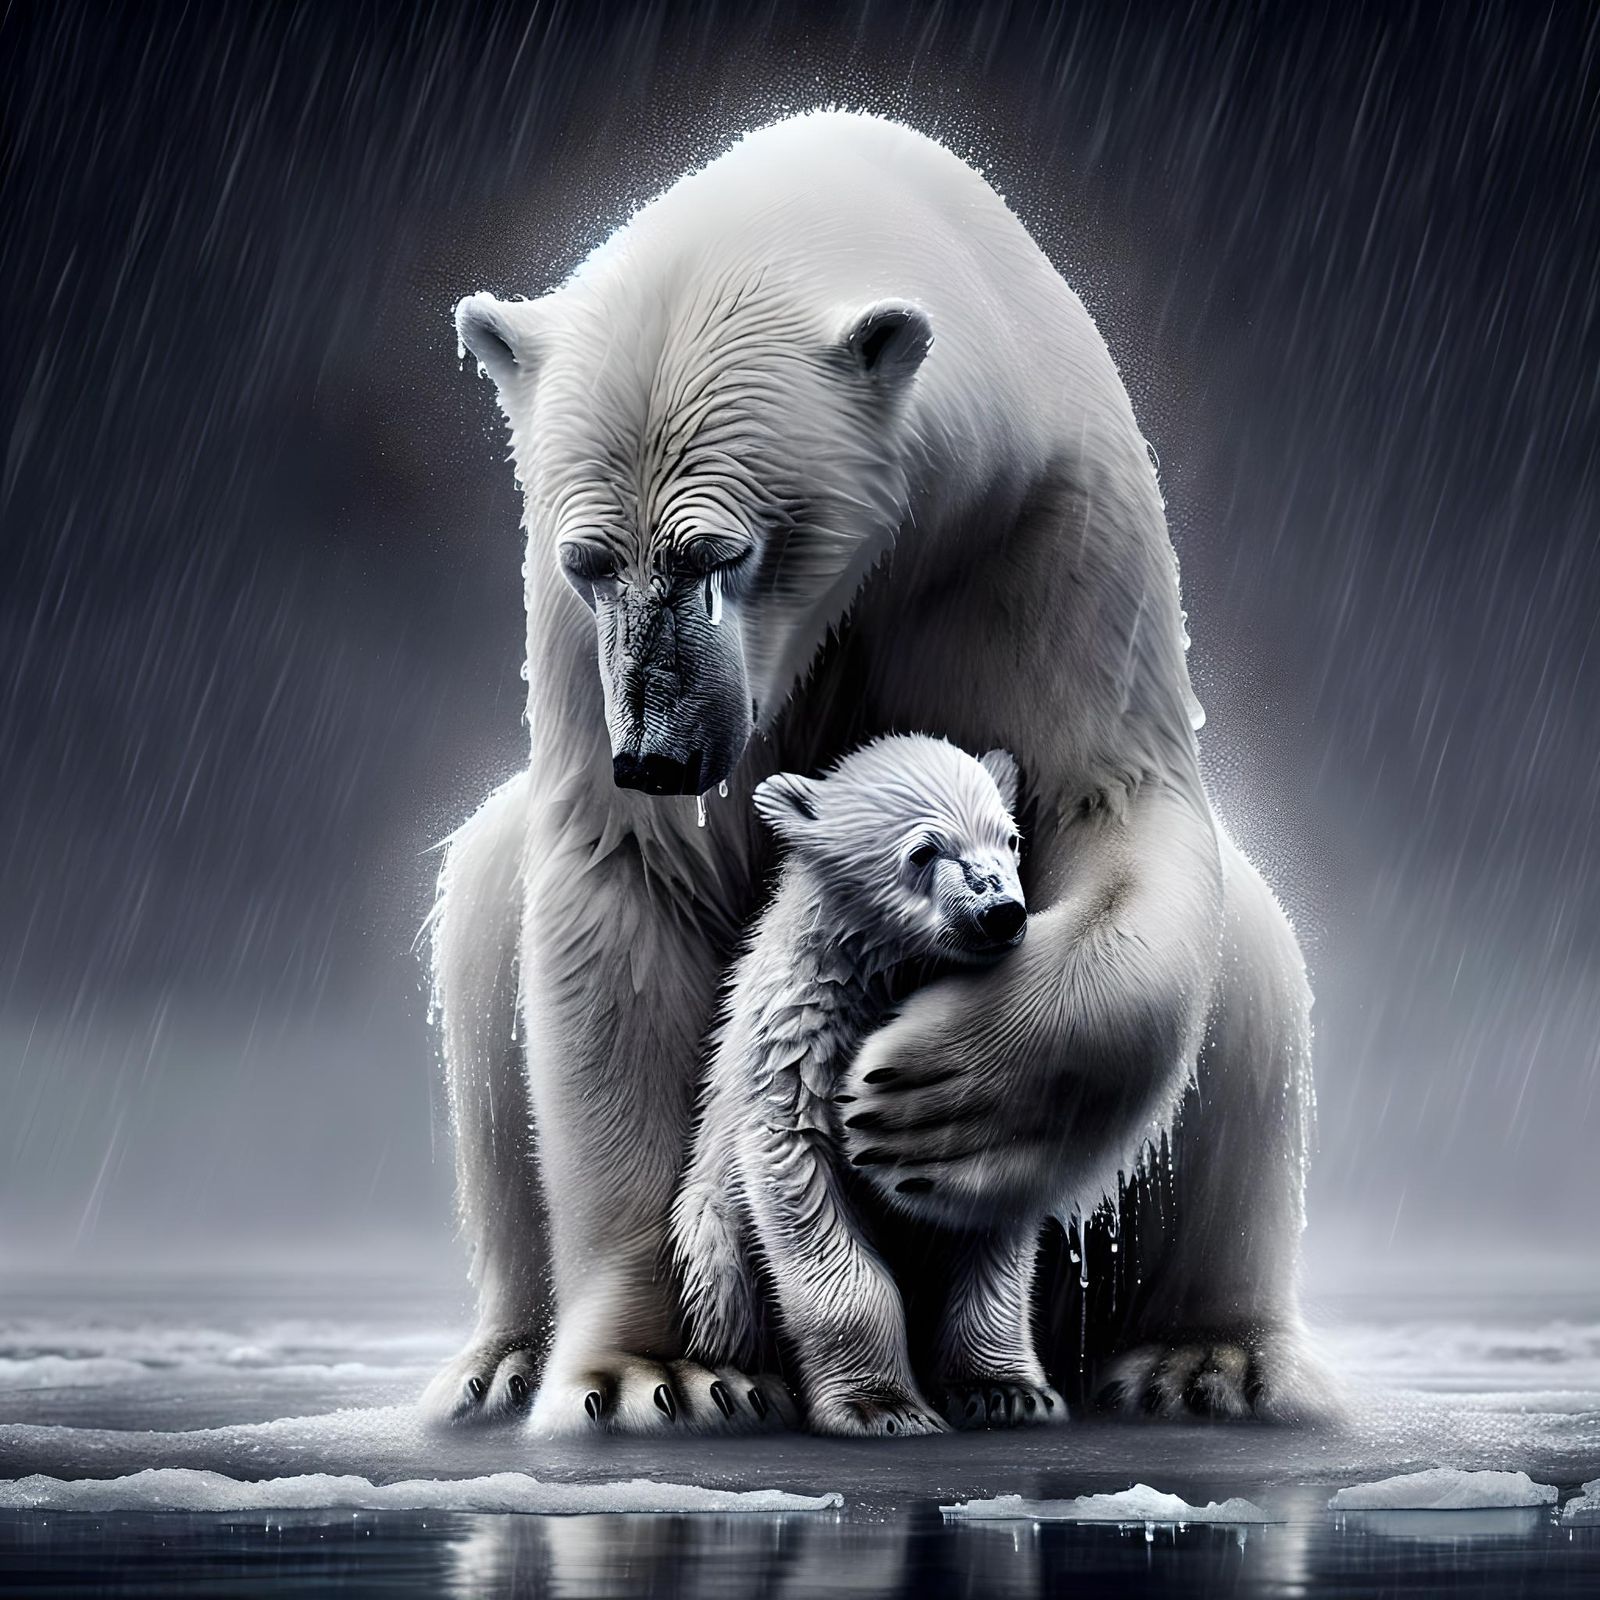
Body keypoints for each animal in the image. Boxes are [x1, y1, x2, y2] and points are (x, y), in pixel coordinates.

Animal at [671, 734, 1064, 1437]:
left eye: (1011, 838)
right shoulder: (798, 1046)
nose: (1002, 914)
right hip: (712, 1233)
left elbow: (991, 1212)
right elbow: (803, 1184)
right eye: (925, 851)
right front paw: (883, 1407)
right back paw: (742, 1380)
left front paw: (1007, 1391)